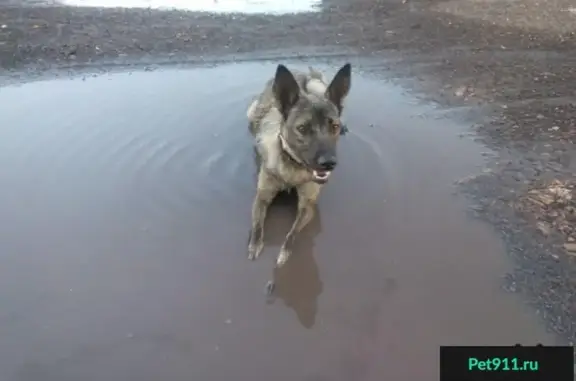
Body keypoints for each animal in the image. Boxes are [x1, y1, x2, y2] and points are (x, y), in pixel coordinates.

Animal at [244, 62, 352, 266]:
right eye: (302, 128)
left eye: (333, 126)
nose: (329, 163)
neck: (292, 167)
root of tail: (298, 72)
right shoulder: (262, 195)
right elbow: (257, 223)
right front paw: (254, 244)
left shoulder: (307, 205)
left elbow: (292, 232)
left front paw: (285, 253)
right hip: (252, 111)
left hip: (317, 85)